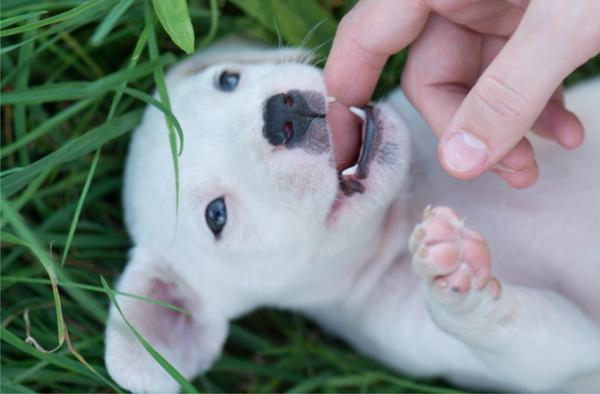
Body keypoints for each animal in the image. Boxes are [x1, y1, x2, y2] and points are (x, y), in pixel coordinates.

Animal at [104, 40, 600, 390]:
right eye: (217, 215)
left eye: (227, 79)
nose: (280, 114)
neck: (401, 211)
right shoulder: (416, 335)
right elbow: (536, 339)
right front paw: (459, 282)